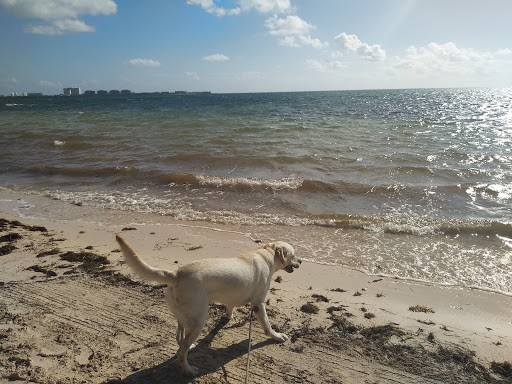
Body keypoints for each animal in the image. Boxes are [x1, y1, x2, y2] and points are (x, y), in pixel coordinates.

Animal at [116, 234, 300, 376]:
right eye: (294, 255)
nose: (302, 261)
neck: (267, 254)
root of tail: (176, 274)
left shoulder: (232, 298)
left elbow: (230, 307)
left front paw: (227, 317)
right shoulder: (258, 303)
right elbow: (267, 325)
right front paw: (276, 336)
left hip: (185, 316)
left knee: (179, 337)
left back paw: (190, 347)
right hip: (199, 319)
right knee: (180, 352)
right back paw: (188, 371)